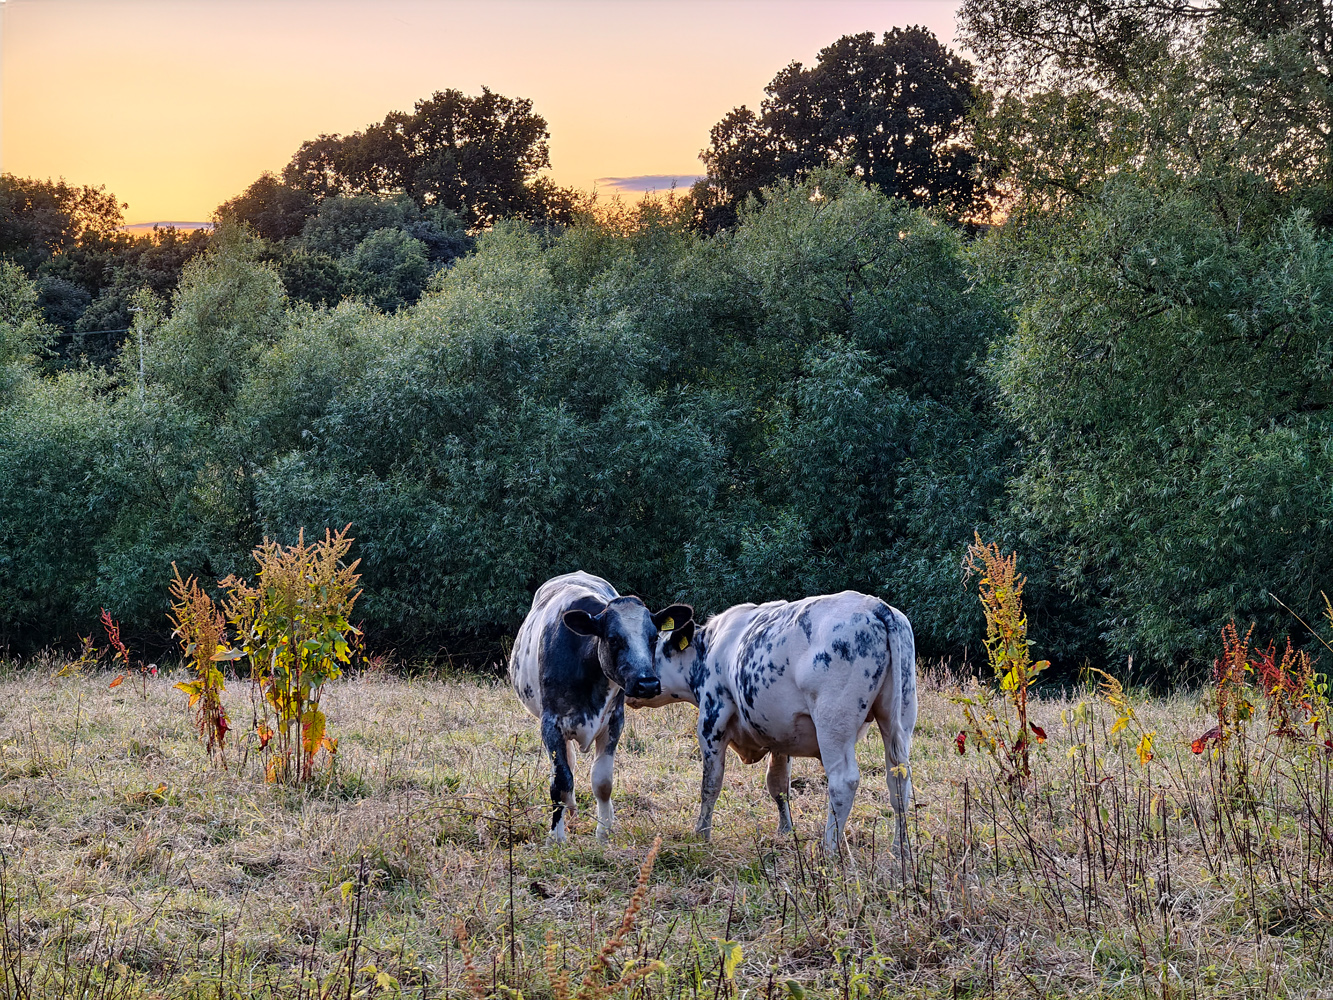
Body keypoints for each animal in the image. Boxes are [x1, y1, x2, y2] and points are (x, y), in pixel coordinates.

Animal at [509, 570, 698, 848]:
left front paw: (604, 831)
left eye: (653, 638)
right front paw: (556, 837)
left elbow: (602, 781)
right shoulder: (550, 723)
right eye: (613, 639)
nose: (647, 683)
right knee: (567, 766)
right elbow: (560, 780)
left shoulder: (614, 722)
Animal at [642, 592, 917, 858]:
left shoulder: (712, 718)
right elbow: (778, 785)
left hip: (833, 724)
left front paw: (701, 835)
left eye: (651, 645)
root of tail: (876, 606)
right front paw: (785, 831)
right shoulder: (780, 734)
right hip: (899, 718)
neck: (709, 649)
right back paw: (900, 850)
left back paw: (829, 851)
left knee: (843, 782)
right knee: (899, 781)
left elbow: (710, 784)